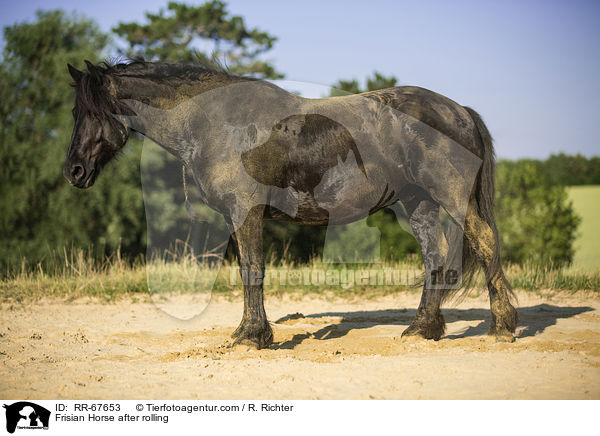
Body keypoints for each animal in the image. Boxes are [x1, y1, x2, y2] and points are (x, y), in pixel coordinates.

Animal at [63, 60, 516, 348]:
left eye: (92, 112)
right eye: (76, 111)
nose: (74, 170)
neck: (215, 122)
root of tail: (459, 111)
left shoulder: (245, 213)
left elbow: (252, 270)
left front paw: (250, 337)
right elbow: (248, 272)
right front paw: (253, 333)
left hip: (451, 197)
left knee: (484, 242)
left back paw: (502, 327)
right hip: (418, 202)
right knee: (434, 255)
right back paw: (422, 329)